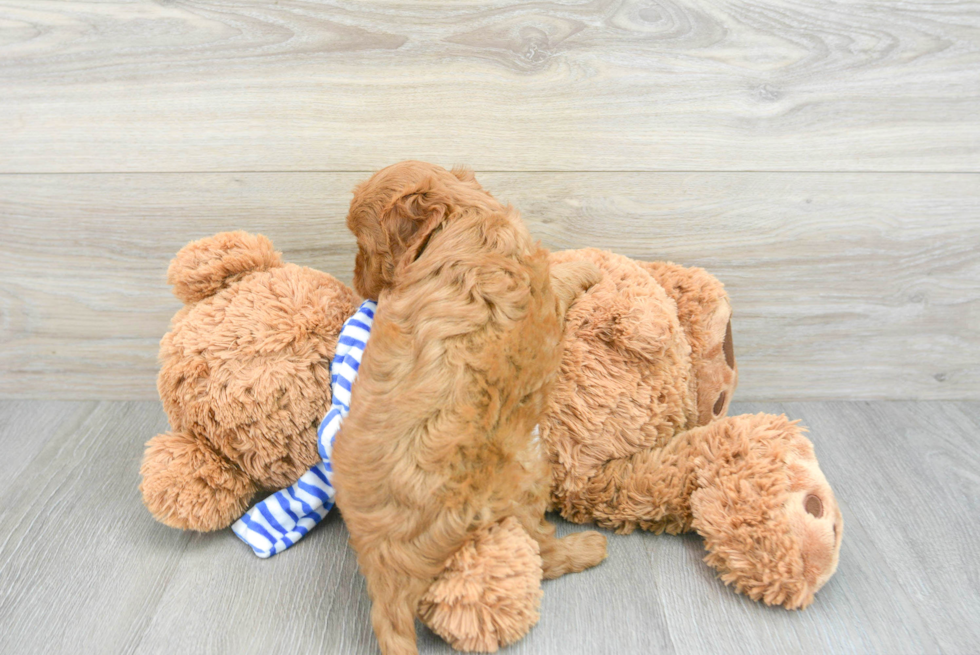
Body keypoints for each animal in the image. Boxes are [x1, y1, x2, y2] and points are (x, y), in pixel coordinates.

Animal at [334, 160, 604, 655]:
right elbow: (561, 275)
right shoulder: (543, 290)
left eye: (364, 247)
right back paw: (588, 548)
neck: (461, 216)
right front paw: (589, 265)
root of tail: (387, 576)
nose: (360, 284)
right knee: (543, 553)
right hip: (524, 480)